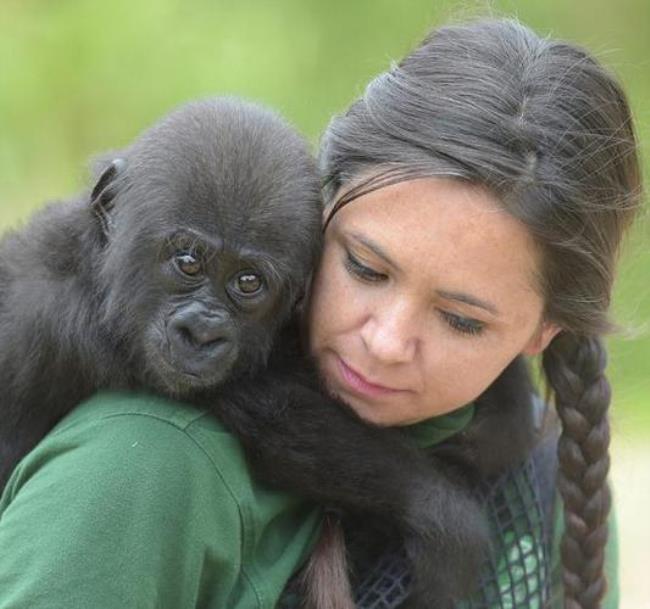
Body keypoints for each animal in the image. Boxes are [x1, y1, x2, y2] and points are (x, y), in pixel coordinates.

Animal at [0, 97, 536, 604]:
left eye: (248, 283)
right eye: (187, 261)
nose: (202, 332)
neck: (94, 267)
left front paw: (507, 408)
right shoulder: (72, 319)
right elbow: (272, 405)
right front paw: (438, 510)